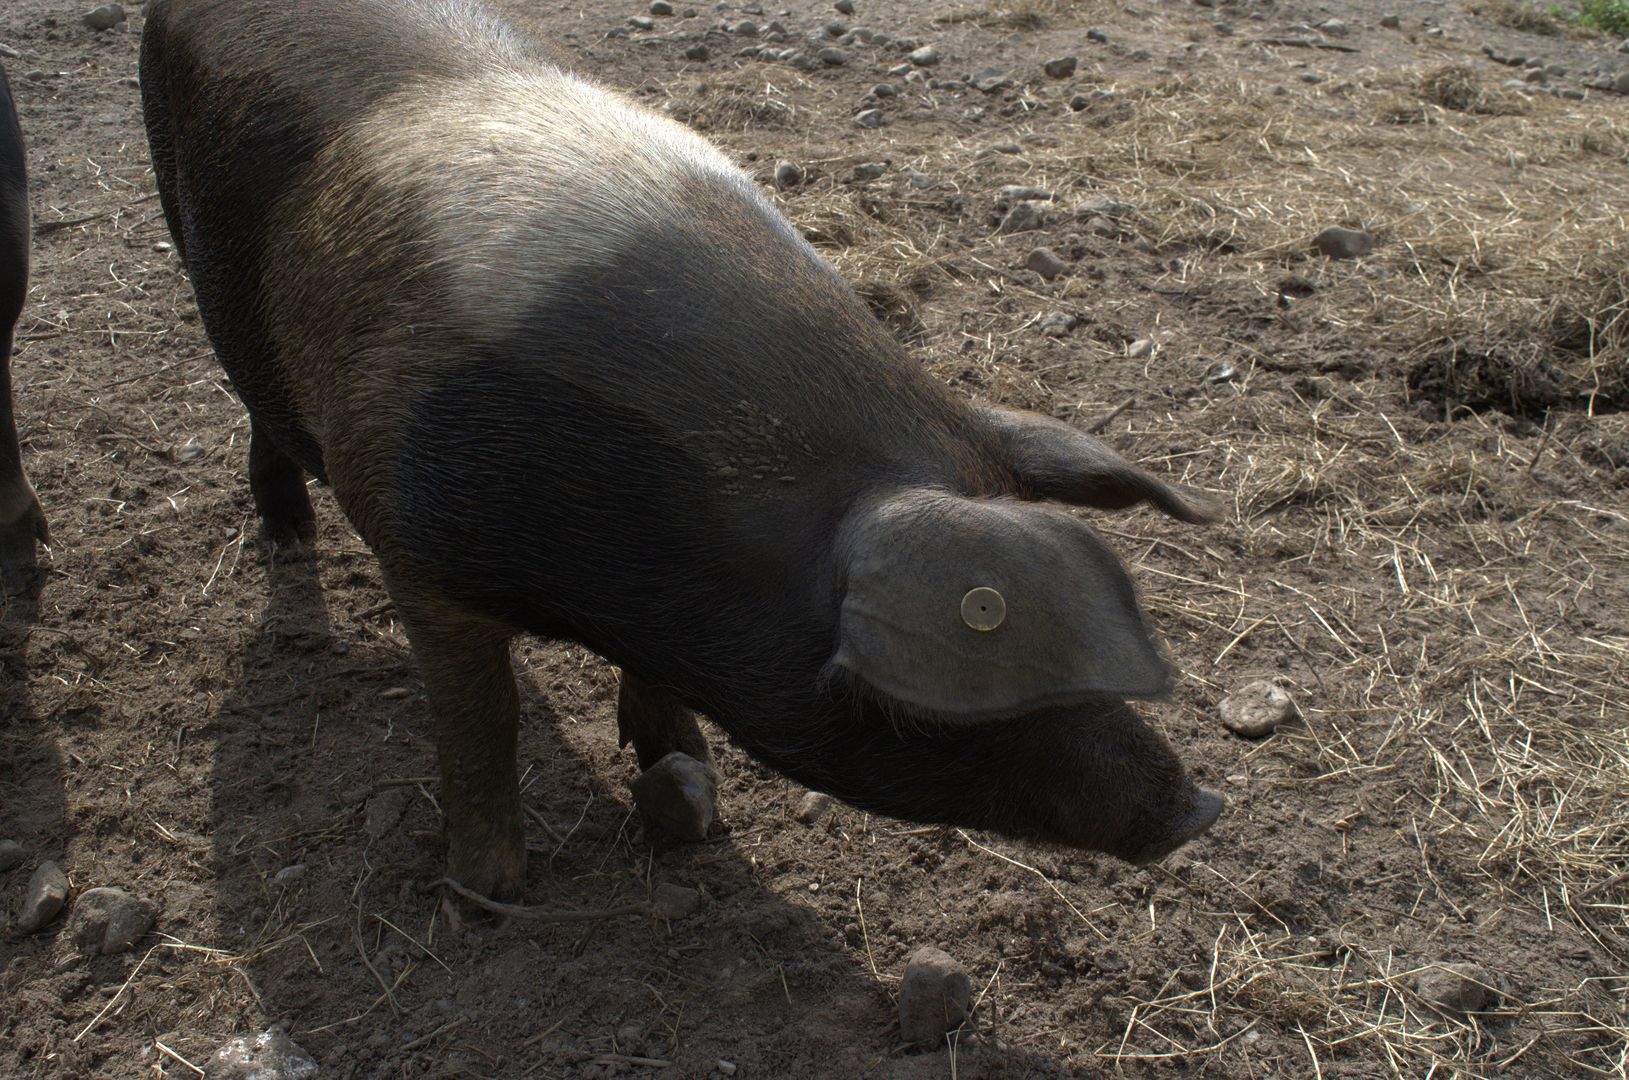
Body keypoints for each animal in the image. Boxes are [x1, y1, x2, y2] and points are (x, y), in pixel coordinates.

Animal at [143, 0, 1225, 905]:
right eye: (918, 712)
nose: (1196, 809)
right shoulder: (416, 549)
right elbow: (481, 722)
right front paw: (489, 897)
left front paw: (681, 777)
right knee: (255, 409)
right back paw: (286, 536)